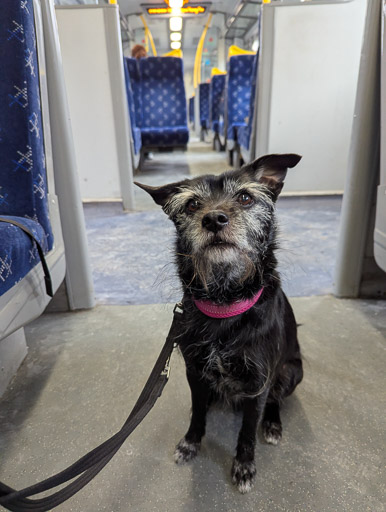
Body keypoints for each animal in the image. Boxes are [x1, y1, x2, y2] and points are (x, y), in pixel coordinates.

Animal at [137, 154, 304, 494]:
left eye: (245, 197)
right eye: (191, 205)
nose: (214, 219)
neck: (224, 305)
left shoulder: (258, 384)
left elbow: (247, 431)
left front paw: (244, 466)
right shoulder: (195, 373)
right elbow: (198, 412)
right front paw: (190, 442)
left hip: (292, 371)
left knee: (276, 400)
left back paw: (273, 424)